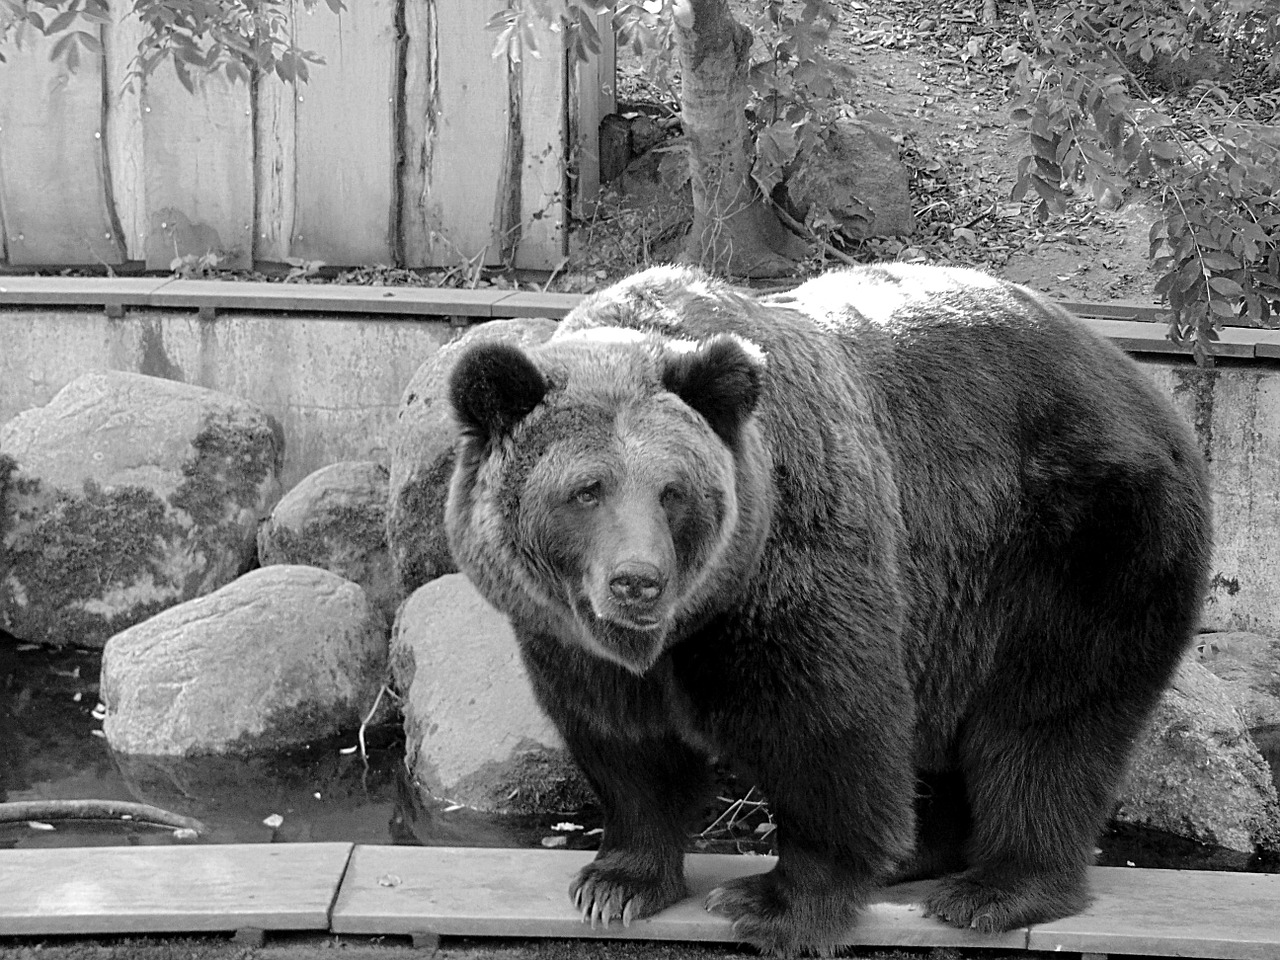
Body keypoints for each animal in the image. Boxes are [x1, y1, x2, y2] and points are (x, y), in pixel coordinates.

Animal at [445, 261, 1213, 957]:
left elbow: (823, 732)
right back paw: (921, 855)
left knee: (1047, 720)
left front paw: (774, 902)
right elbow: (623, 744)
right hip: (964, 603)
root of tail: (1142, 383)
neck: (688, 624)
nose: (639, 581)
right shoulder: (565, 634)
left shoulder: (791, 563)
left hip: (1079, 539)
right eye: (587, 490)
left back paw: (996, 888)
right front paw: (616, 884)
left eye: (672, 491)